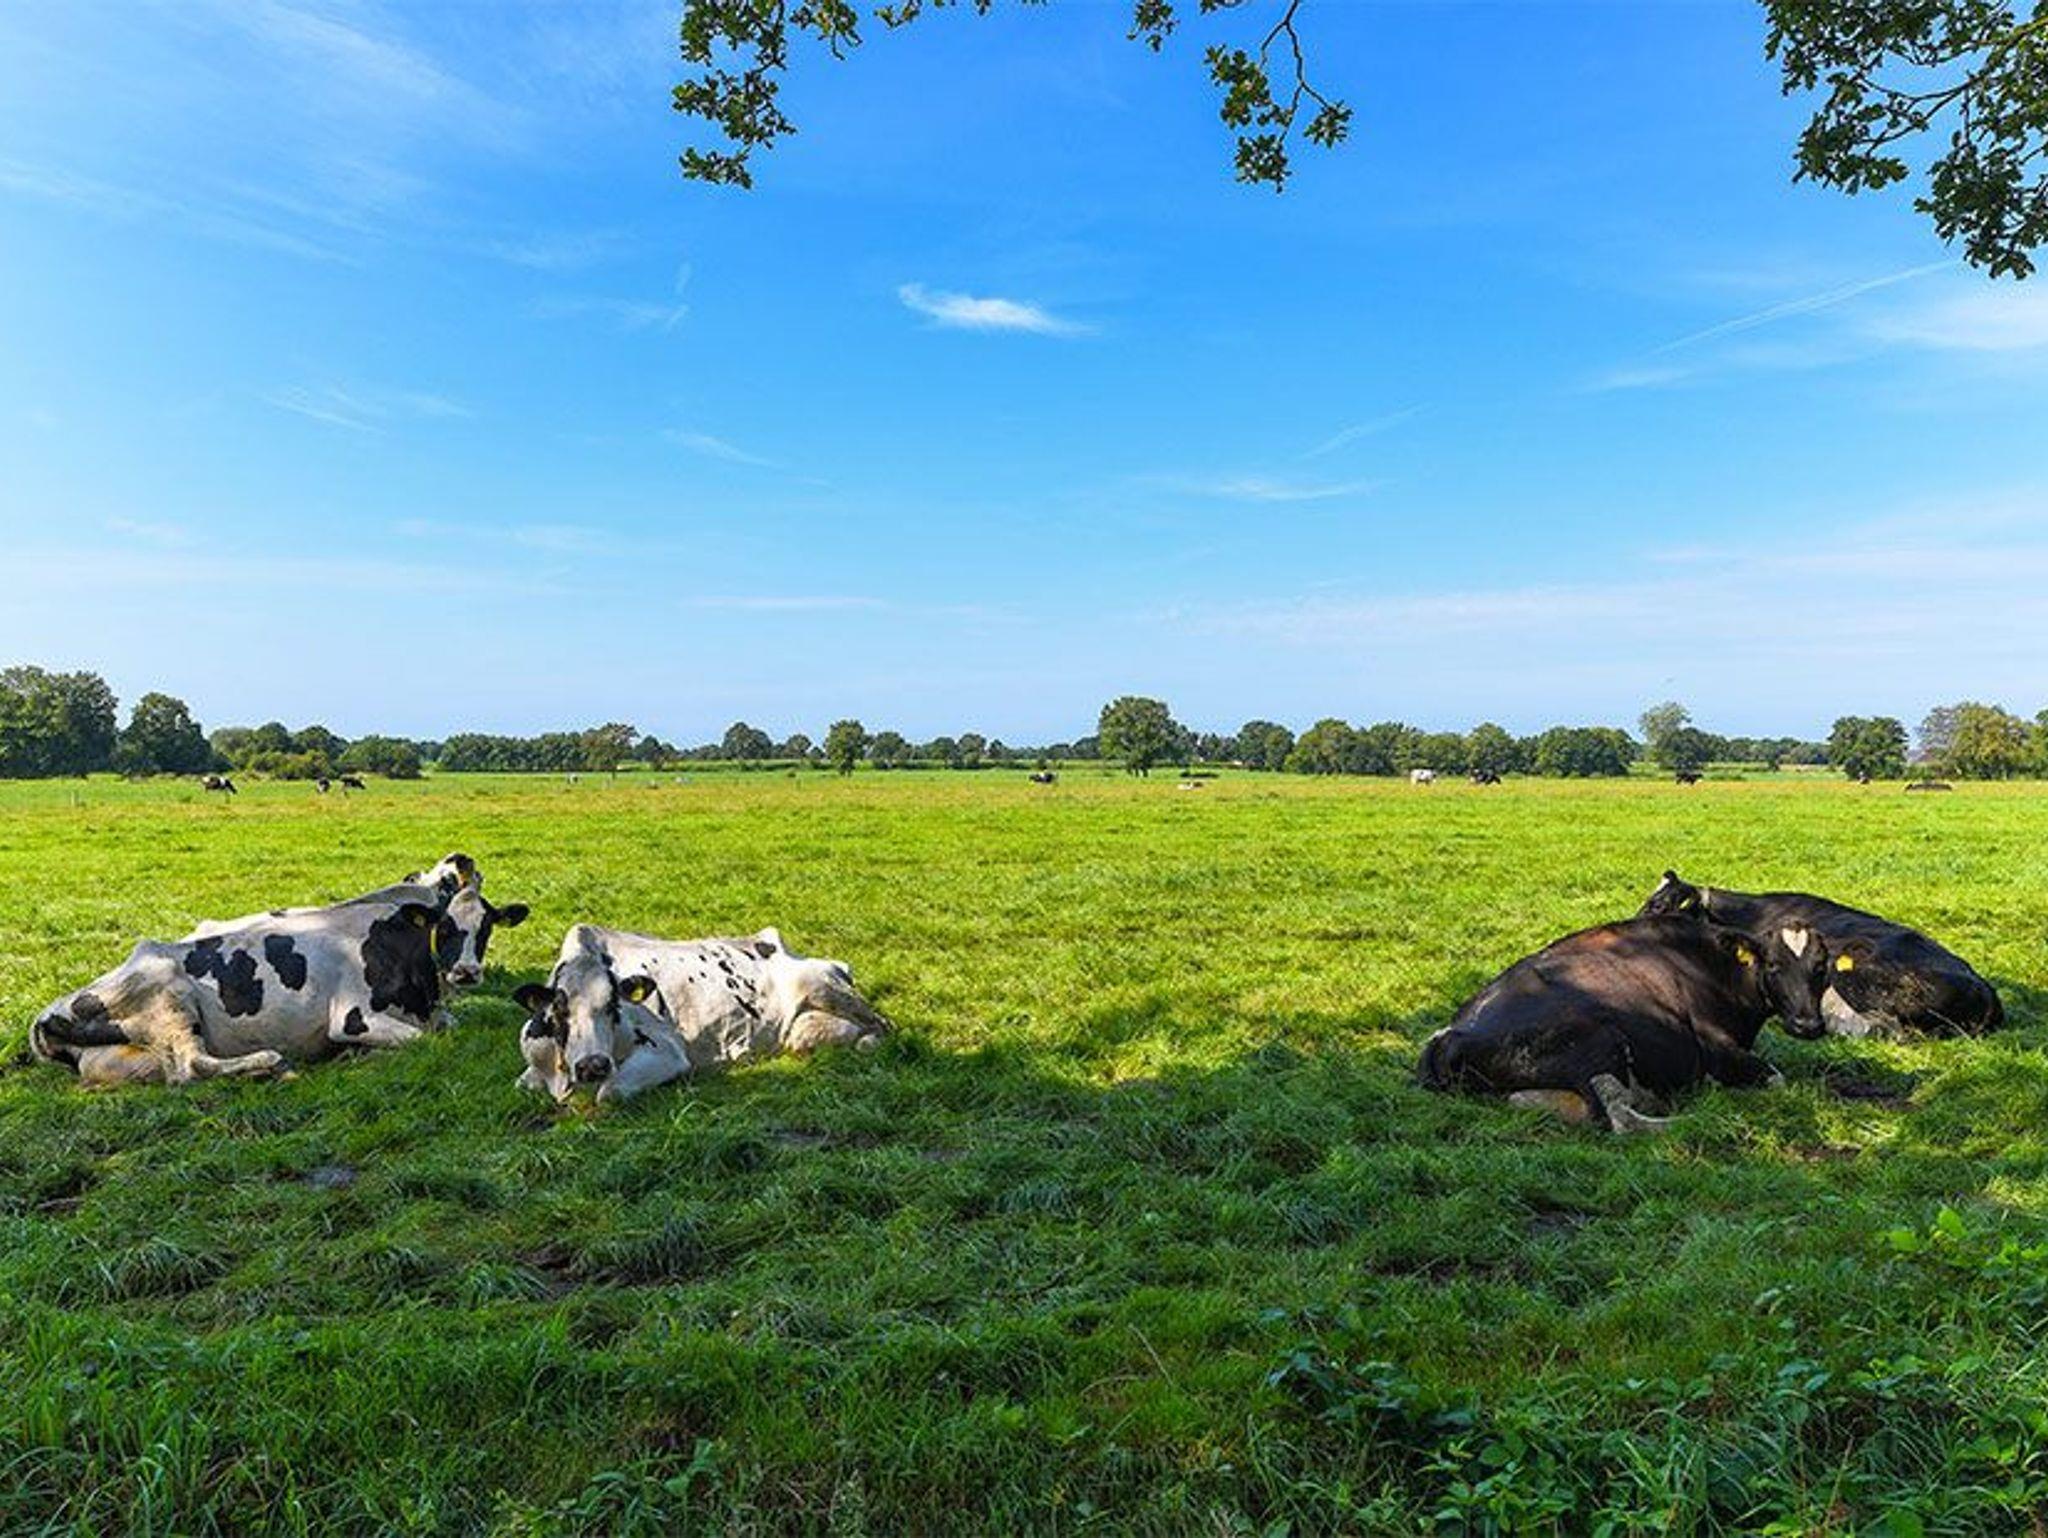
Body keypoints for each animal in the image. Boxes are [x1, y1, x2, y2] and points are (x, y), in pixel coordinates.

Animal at [514, 924, 889, 1104]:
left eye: (613, 1005)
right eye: (559, 1010)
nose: (593, 1066)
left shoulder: (667, 1052)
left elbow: (610, 1092)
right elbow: (522, 1084)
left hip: (823, 988)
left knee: (882, 1026)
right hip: (799, 1032)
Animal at [1417, 915, 1829, 1132]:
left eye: (1821, 967)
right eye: (1773, 966)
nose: (1808, 1024)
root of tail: (1450, 1034)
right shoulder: (1715, 1048)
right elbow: (1777, 1078)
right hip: (1597, 1039)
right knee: (1617, 1116)